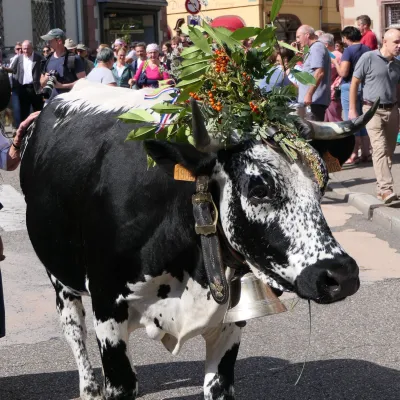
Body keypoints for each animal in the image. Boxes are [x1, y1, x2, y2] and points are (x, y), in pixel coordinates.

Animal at [18, 79, 374, 398]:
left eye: (322, 184)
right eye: (259, 188)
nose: (341, 275)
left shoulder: (231, 324)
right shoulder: (108, 312)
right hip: (60, 278)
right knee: (73, 329)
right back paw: (88, 387)